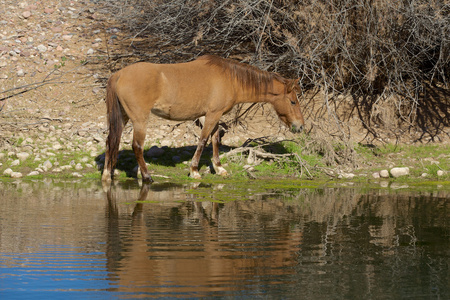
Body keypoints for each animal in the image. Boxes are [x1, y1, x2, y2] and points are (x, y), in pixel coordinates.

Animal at [102, 55, 306, 183]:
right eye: (293, 101)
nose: (300, 126)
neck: (230, 79)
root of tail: (118, 74)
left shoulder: (212, 115)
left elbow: (215, 140)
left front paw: (219, 168)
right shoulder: (212, 114)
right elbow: (203, 140)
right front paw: (194, 171)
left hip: (123, 116)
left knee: (112, 141)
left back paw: (107, 174)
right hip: (139, 120)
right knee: (136, 146)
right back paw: (146, 177)